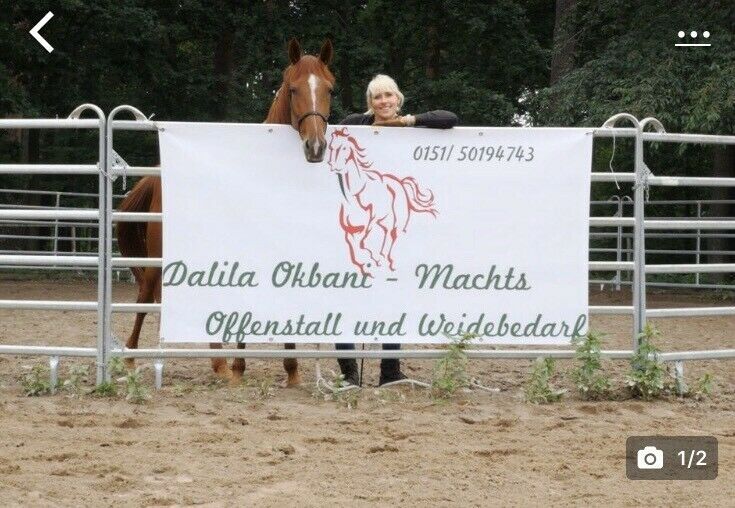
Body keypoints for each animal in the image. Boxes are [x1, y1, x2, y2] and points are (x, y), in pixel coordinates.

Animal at [118, 38, 336, 384]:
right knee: (145, 295)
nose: (315, 147)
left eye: (330, 89)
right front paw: (238, 366)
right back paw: (132, 357)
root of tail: (156, 176)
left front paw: (291, 369)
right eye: (293, 89)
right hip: (157, 252)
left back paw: (215, 360)